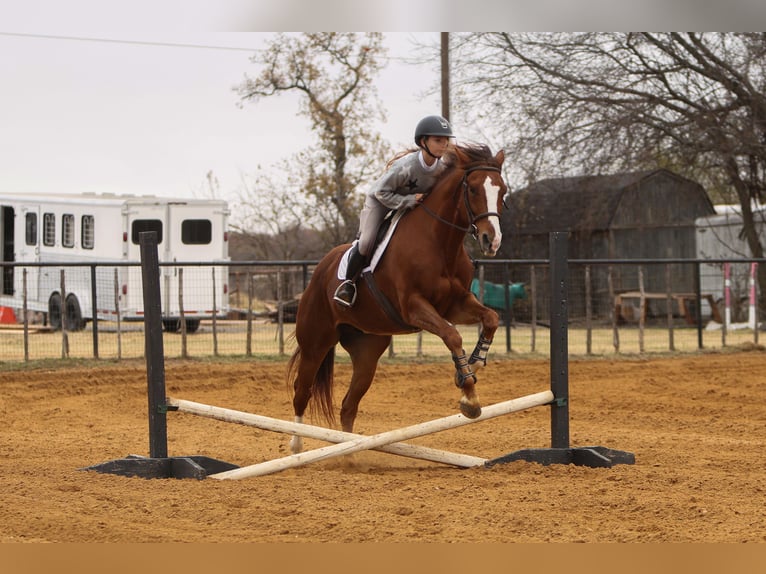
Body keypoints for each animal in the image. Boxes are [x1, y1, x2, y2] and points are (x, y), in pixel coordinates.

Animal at [287, 143, 508, 453]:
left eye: (503, 192)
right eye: (474, 189)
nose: (492, 240)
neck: (440, 242)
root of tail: (321, 269)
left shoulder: (455, 304)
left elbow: (491, 318)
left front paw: (473, 364)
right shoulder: (413, 307)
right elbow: (452, 336)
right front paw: (469, 398)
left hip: (367, 351)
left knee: (348, 405)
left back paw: (350, 455)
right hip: (315, 342)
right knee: (302, 391)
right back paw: (296, 446)